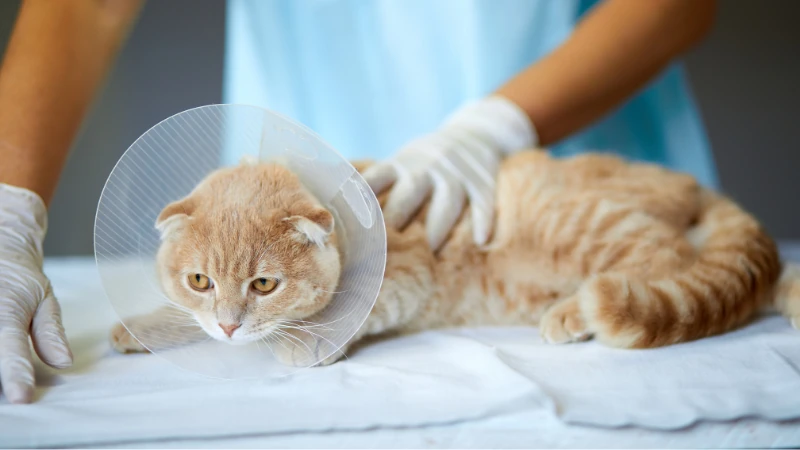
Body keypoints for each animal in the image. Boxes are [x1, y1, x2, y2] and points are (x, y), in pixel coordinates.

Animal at [111, 149, 800, 364]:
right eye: (200, 280)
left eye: (262, 284)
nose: (230, 325)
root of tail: (693, 183)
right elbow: (180, 320)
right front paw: (140, 327)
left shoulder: (406, 275)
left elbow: (343, 313)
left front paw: (304, 341)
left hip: (579, 220)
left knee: (669, 259)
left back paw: (574, 311)